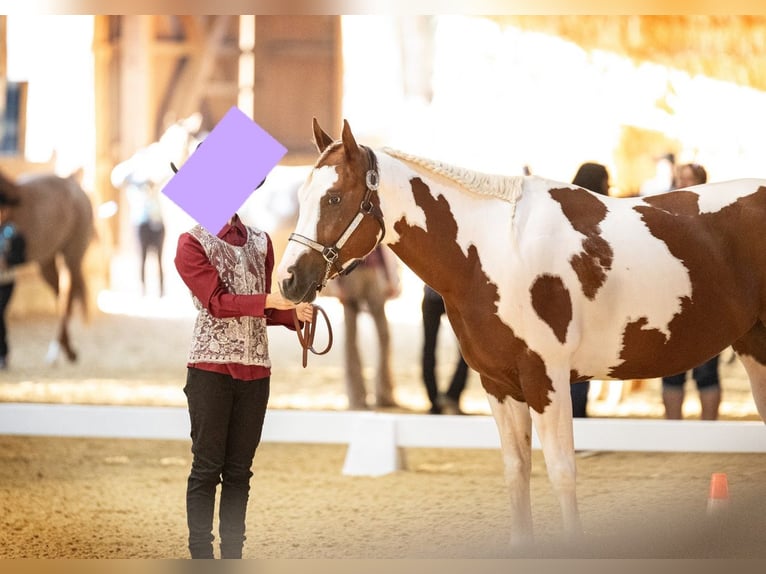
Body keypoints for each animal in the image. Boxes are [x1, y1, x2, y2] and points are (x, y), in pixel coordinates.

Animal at [0, 169, 94, 362]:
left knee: (69, 296)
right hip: (47, 262)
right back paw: (63, 349)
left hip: (72, 254)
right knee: (62, 297)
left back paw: (61, 351)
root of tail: (70, 181)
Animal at [276, 120, 766, 548]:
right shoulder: (499, 385)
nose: (289, 280)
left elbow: (561, 471)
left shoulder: (546, 381)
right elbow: (517, 469)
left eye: (334, 198)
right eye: (301, 195)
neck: (495, 250)